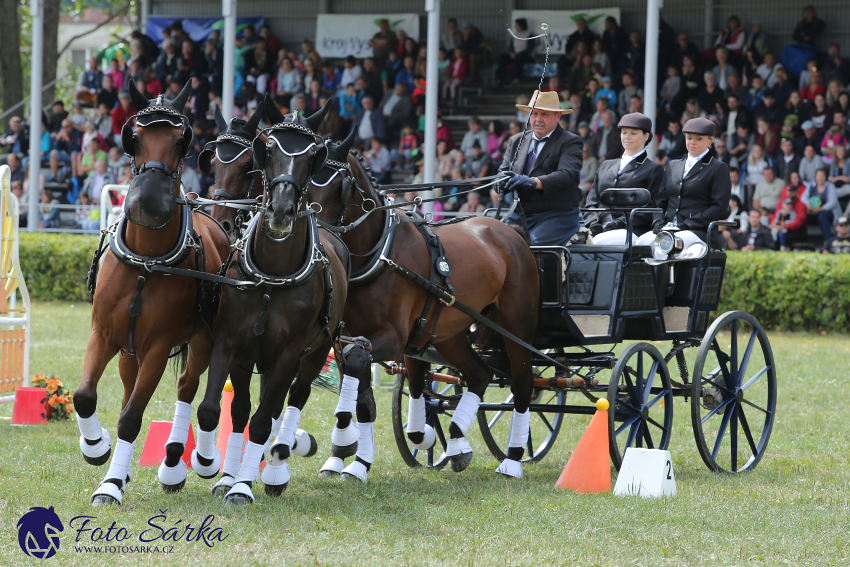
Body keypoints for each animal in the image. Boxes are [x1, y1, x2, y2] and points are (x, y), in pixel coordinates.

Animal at [74, 81, 229, 506]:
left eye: (181, 140)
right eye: (135, 137)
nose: (148, 203)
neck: (146, 260)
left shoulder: (159, 347)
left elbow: (131, 417)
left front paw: (110, 485)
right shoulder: (102, 333)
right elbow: (84, 395)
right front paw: (97, 447)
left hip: (203, 340)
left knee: (188, 388)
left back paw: (188, 462)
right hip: (129, 349)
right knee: (129, 387)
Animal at [308, 123, 540, 480]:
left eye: (340, 186)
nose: (319, 239)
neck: (378, 255)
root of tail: (507, 230)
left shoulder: (393, 338)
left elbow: (360, 369)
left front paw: (354, 453)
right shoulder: (348, 337)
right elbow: (360, 385)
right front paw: (349, 456)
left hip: (516, 327)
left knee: (523, 383)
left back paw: (512, 460)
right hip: (448, 333)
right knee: (479, 375)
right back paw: (457, 442)